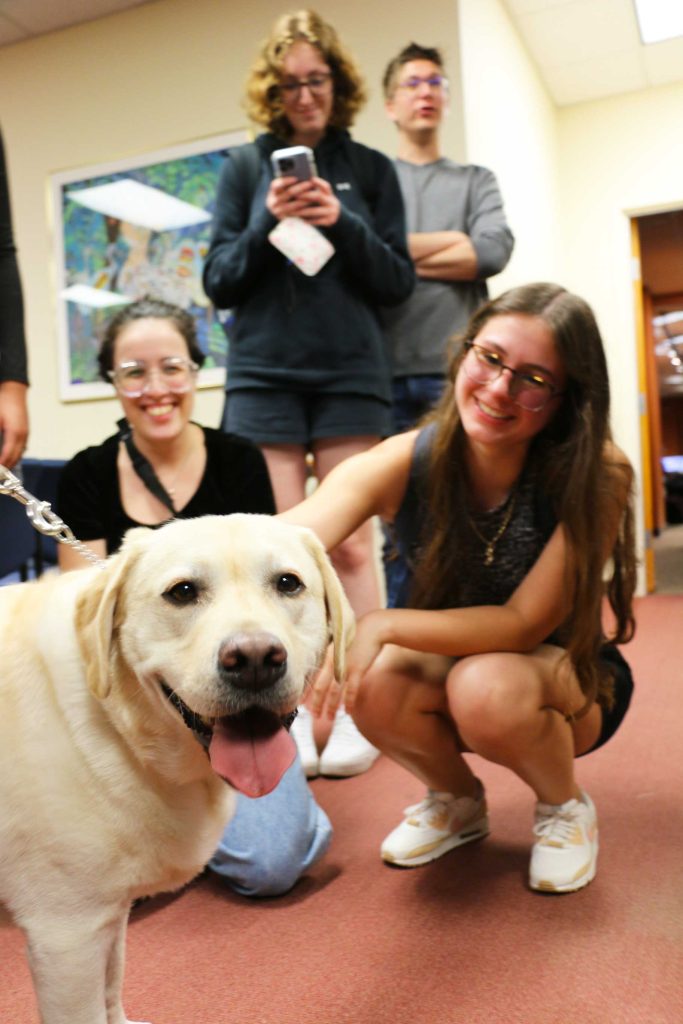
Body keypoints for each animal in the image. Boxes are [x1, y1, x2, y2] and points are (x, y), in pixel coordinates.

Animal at [0, 516, 352, 1024]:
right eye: (182, 592)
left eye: (288, 583)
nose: (254, 659)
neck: (121, 727)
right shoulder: (66, 935)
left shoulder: (107, 914)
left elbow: (112, 988)